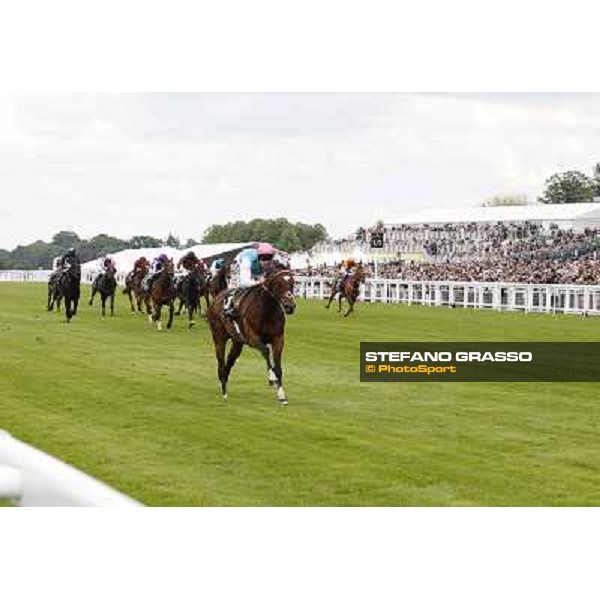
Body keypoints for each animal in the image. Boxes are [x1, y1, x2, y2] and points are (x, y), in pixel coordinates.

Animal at [207, 241, 296, 406]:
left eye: (292, 282)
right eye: (278, 283)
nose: (290, 306)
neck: (266, 311)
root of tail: (218, 296)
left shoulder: (278, 338)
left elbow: (278, 366)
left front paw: (281, 395)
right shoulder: (252, 337)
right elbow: (266, 352)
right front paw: (272, 379)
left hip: (237, 342)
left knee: (229, 362)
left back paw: (225, 382)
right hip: (219, 337)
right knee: (221, 362)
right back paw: (224, 392)